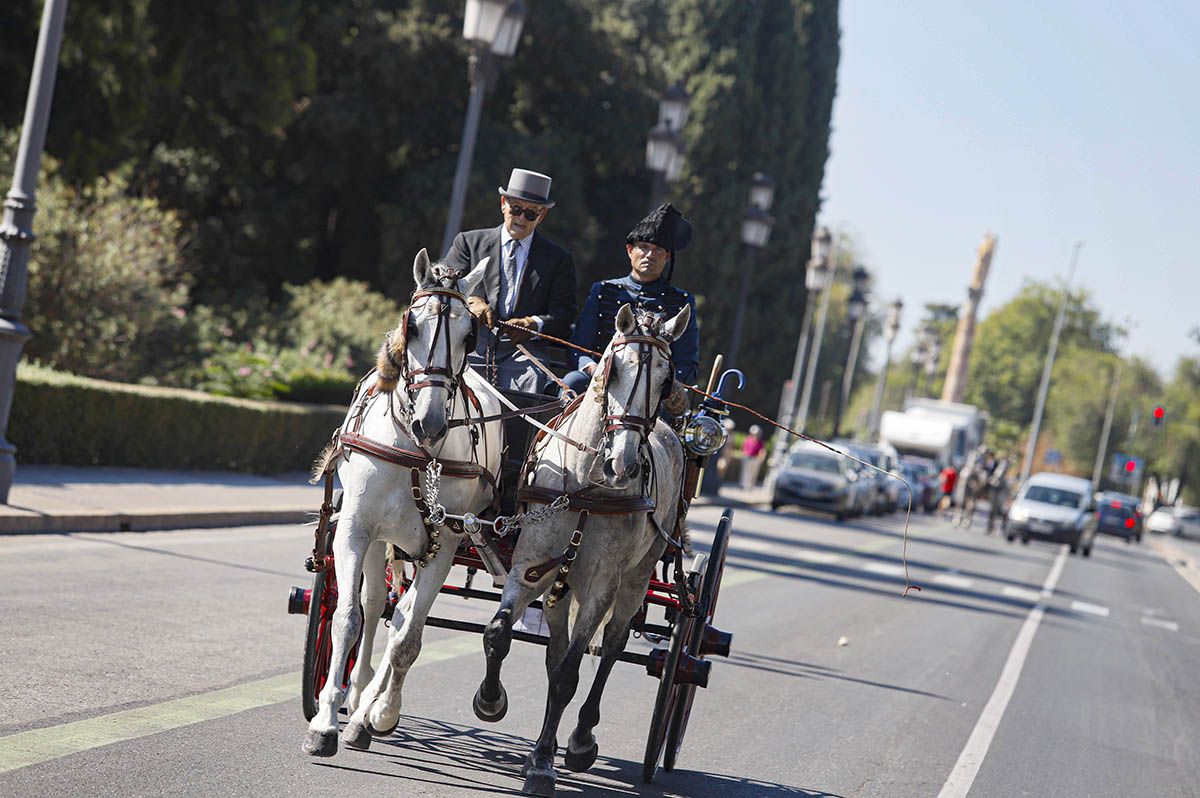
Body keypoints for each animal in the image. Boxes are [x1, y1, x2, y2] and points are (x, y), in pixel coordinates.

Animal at [304, 249, 506, 758]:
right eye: (410, 326)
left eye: (470, 335)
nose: (430, 423)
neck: (417, 452)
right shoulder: (355, 529)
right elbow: (347, 620)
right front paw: (325, 721)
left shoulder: (446, 544)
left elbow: (408, 639)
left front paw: (375, 715)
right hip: (381, 540)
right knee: (376, 604)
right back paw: (353, 694)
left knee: (400, 618)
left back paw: (367, 709)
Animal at [472, 302, 691, 792]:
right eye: (612, 370)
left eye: (667, 380)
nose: (623, 464)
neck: (585, 482)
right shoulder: (531, 567)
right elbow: (499, 635)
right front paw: (491, 701)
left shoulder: (601, 587)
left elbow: (570, 675)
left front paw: (542, 763)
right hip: (561, 582)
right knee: (556, 648)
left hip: (636, 577)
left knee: (611, 646)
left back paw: (579, 739)